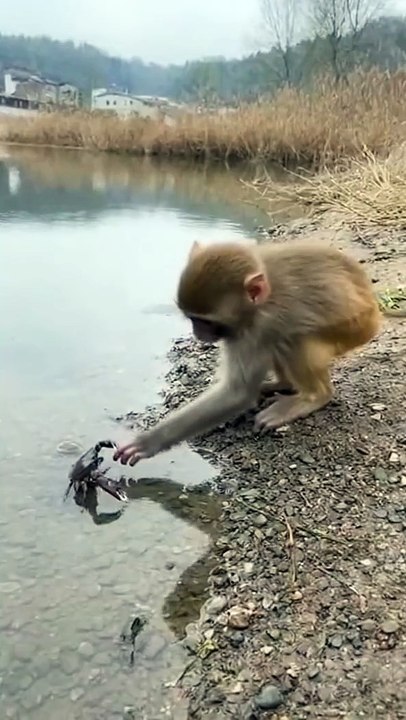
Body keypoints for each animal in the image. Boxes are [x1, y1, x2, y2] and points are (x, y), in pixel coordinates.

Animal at [114, 240, 402, 467]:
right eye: (192, 319)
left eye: (205, 322)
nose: (198, 334)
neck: (259, 302)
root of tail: (374, 307)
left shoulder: (257, 326)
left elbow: (237, 392)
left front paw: (148, 442)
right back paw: (282, 384)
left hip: (353, 328)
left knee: (294, 338)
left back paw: (312, 396)